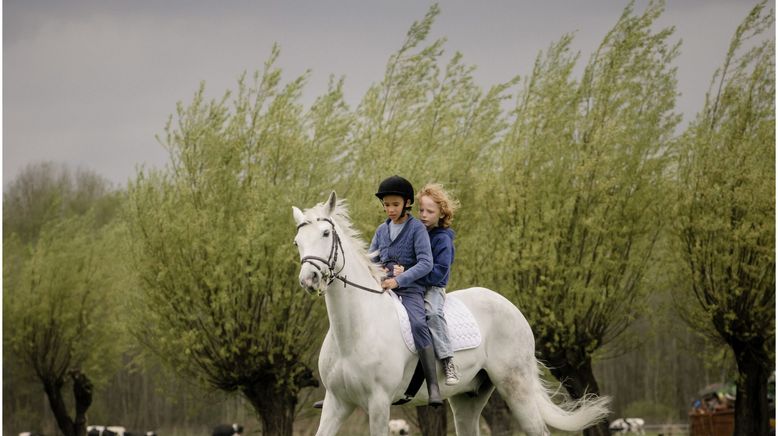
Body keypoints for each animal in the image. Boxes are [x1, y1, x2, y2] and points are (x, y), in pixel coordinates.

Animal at [290, 193, 608, 436]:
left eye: (326, 234)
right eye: (297, 241)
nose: (308, 279)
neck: (354, 330)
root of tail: (509, 306)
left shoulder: (378, 405)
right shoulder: (336, 404)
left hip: (516, 387)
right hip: (469, 397)